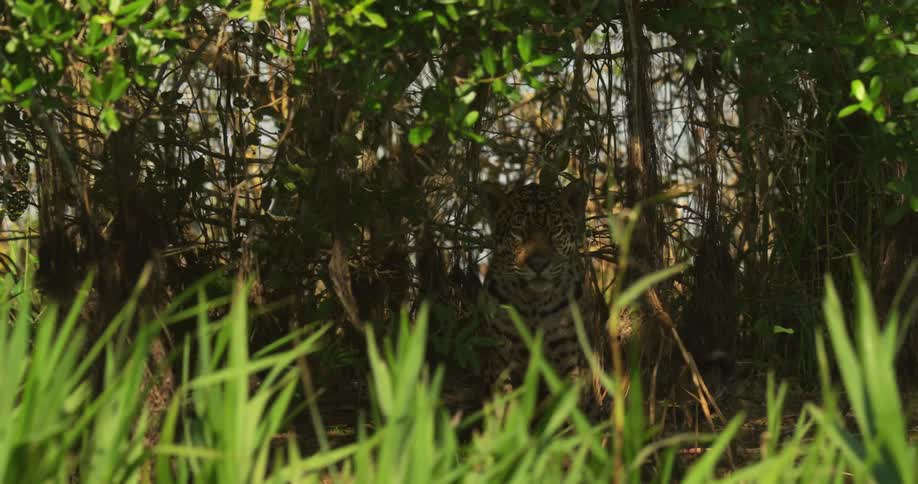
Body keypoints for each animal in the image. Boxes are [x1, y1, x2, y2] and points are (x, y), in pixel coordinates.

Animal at [478, 176, 611, 417]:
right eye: (518, 233)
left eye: (555, 231)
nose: (538, 264)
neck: (534, 304)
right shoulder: (500, 358)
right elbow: (505, 405)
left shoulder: (567, 356)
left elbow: (564, 409)